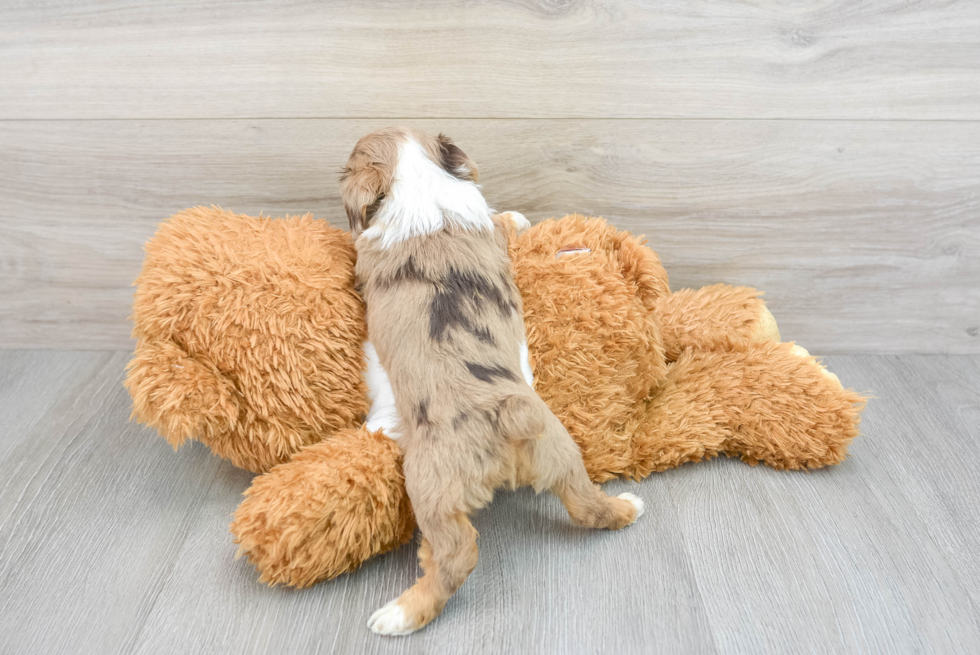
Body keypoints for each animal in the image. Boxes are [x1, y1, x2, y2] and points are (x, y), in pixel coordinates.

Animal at [338, 128, 644, 636]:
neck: (420, 183)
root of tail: (508, 416)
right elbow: (502, 221)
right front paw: (517, 216)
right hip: (561, 452)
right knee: (585, 505)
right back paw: (629, 507)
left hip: (431, 487)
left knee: (456, 555)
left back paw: (400, 615)